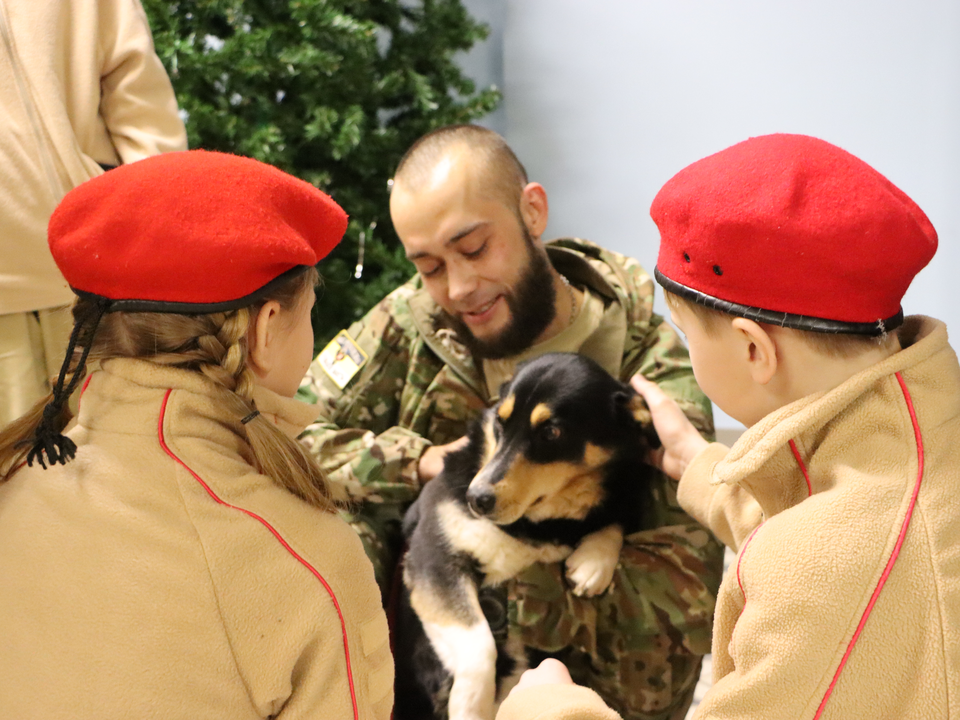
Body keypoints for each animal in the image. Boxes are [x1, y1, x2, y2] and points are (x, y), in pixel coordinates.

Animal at [394, 352, 656, 720]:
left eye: (551, 432)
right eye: (500, 423)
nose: (476, 498)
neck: (533, 525)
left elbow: (613, 516)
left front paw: (594, 561)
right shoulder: (433, 559)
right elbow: (481, 646)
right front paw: (471, 708)